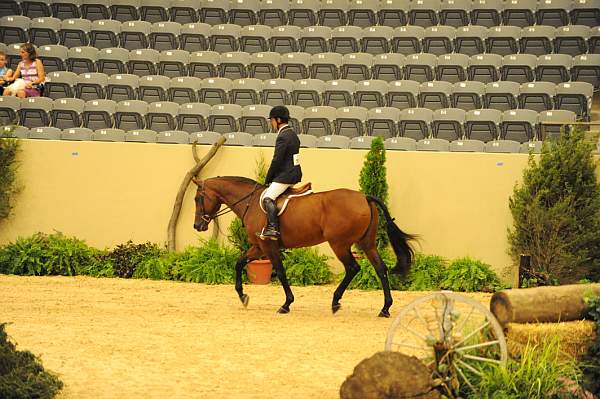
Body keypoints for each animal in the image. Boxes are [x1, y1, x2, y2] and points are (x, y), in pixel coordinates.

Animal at [195, 178, 414, 318]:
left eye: (198, 198)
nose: (197, 226)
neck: (251, 203)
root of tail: (364, 197)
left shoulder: (268, 245)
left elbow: (280, 272)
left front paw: (286, 304)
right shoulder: (258, 246)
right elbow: (239, 263)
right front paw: (243, 296)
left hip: (339, 243)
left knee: (353, 268)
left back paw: (335, 302)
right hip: (367, 243)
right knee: (380, 269)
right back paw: (385, 308)